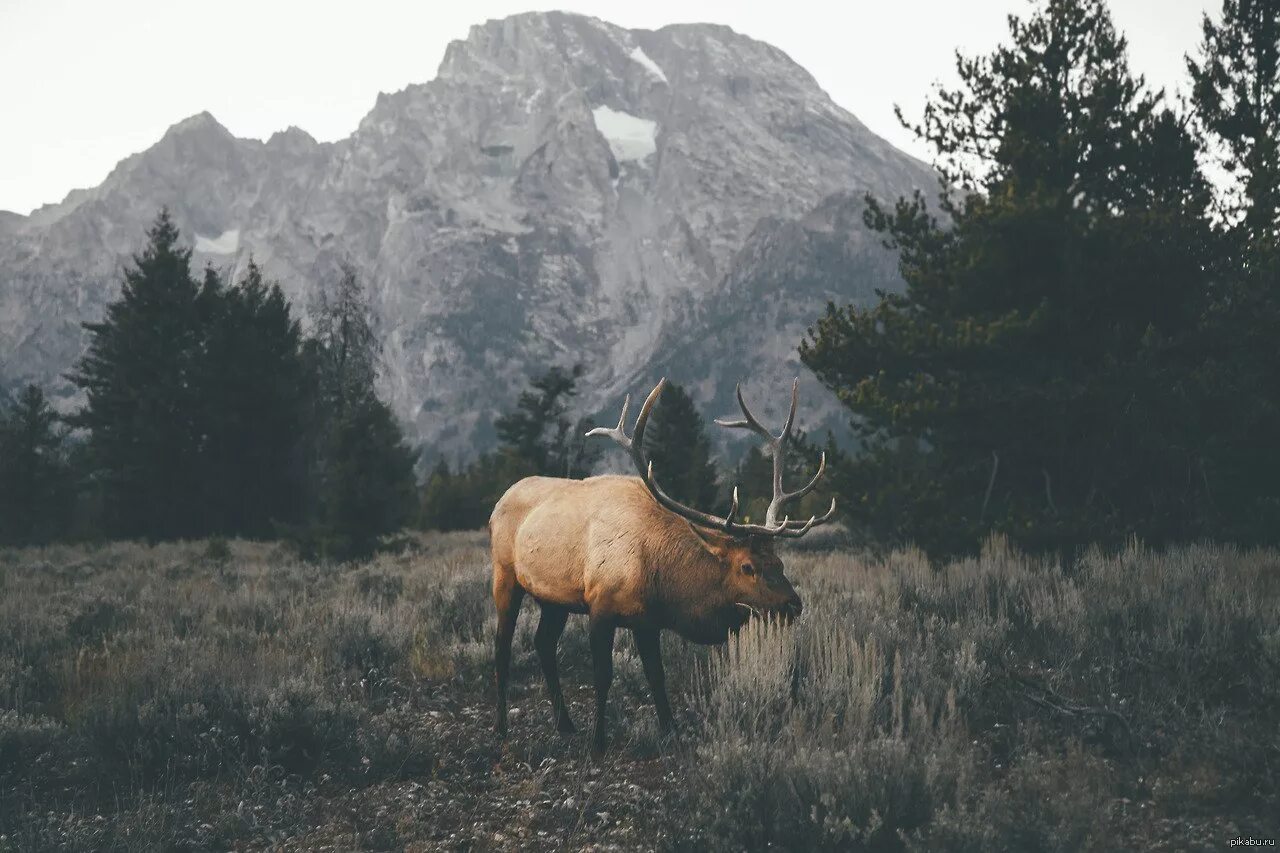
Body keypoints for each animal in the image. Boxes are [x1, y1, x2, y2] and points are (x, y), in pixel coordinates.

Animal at [483, 376, 834, 753]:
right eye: (747, 567)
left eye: (779, 562)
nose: (793, 604)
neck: (658, 574)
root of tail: (498, 502)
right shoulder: (600, 605)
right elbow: (603, 676)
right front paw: (598, 742)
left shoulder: (646, 620)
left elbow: (657, 675)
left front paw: (671, 729)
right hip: (506, 575)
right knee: (502, 646)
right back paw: (501, 726)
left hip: (554, 598)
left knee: (543, 644)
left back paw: (565, 724)